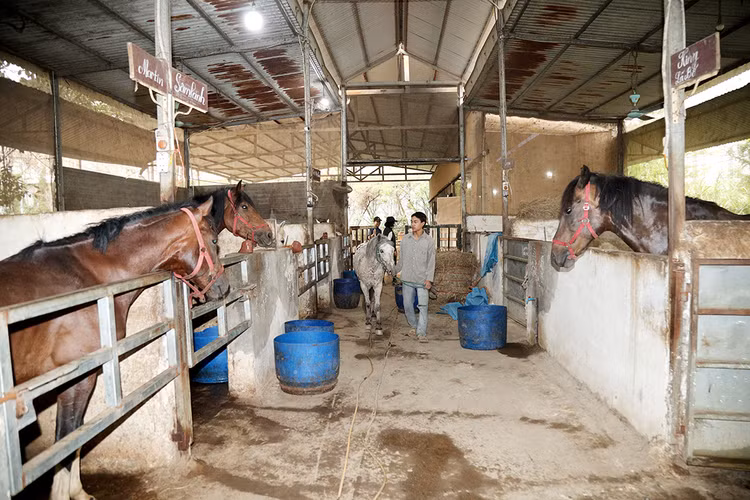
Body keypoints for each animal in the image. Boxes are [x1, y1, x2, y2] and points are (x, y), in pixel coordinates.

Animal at [0, 197, 229, 500]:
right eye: (214, 241)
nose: (225, 287)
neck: (91, 277)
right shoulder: (77, 378)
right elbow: (68, 436)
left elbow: (77, 433)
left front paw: (78, 491)